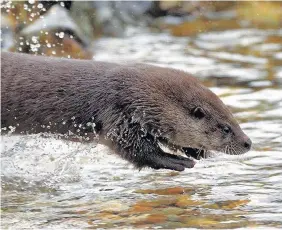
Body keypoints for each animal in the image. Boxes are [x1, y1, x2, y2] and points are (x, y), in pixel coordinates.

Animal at [0, 52, 251, 171]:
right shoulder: (118, 114)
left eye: (233, 118)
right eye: (226, 128)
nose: (248, 143)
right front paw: (175, 160)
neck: (139, 94)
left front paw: (196, 151)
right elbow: (131, 147)